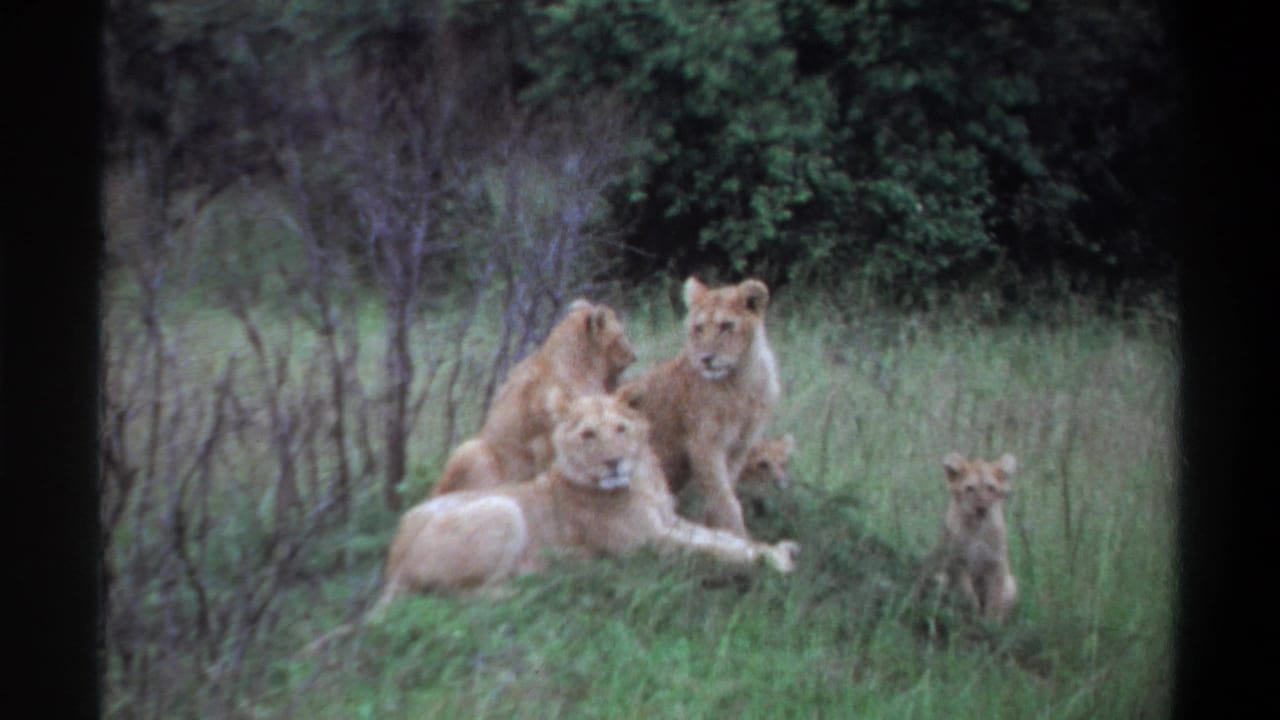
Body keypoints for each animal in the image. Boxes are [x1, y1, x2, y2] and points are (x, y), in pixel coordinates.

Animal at [377, 391, 800, 607]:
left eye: (621, 429)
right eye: (588, 435)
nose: (613, 462)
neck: (642, 479)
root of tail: (391, 565)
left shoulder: (669, 522)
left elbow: (724, 538)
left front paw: (775, 548)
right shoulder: (648, 544)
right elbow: (715, 550)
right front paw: (774, 561)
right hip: (503, 508)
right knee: (460, 596)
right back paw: (544, 581)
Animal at [618, 277, 781, 537]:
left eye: (726, 326)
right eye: (699, 328)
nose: (706, 358)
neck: (741, 380)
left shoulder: (740, 446)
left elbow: (723, 493)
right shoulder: (703, 444)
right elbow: (725, 499)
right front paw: (738, 536)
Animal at [917, 452, 1018, 622]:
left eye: (991, 488)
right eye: (970, 488)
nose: (981, 508)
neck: (977, 527)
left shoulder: (996, 563)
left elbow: (995, 596)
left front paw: (992, 621)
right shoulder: (957, 562)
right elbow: (966, 591)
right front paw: (974, 610)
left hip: (1011, 584)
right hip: (939, 575)